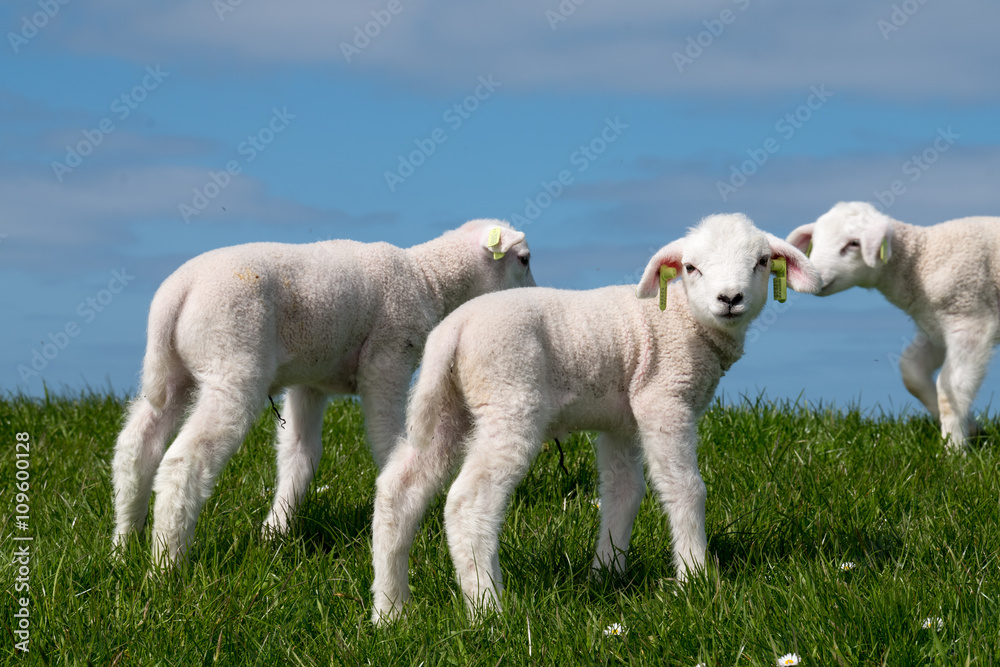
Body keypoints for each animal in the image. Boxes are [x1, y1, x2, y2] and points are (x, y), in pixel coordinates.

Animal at [111, 219, 534, 566]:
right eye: (525, 259)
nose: (534, 295)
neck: (428, 277)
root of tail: (176, 294)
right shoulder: (388, 360)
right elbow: (387, 439)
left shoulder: (309, 381)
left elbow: (300, 453)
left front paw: (275, 531)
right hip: (232, 362)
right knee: (183, 461)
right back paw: (166, 564)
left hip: (173, 373)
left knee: (137, 445)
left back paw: (123, 545)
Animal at [370, 213, 819, 622]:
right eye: (692, 267)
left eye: (762, 261)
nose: (730, 299)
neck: (681, 318)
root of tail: (453, 331)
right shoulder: (663, 399)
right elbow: (685, 488)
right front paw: (695, 578)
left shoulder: (622, 422)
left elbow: (624, 491)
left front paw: (607, 574)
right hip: (509, 399)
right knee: (468, 502)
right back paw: (488, 610)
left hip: (447, 409)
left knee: (399, 490)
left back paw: (391, 611)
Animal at [787, 201, 1000, 450]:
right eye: (815, 241)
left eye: (854, 243)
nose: (815, 277)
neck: (920, 260)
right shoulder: (935, 329)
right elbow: (911, 373)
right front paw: (972, 428)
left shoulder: (970, 320)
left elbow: (952, 391)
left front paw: (954, 449)